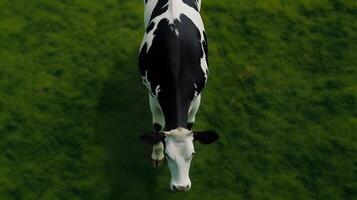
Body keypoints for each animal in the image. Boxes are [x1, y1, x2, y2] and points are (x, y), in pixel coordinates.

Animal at [138, 0, 217, 191]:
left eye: (193, 154)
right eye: (168, 155)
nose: (181, 187)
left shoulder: (197, 97)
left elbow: (190, 122)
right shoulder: (153, 96)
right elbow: (157, 126)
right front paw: (156, 154)